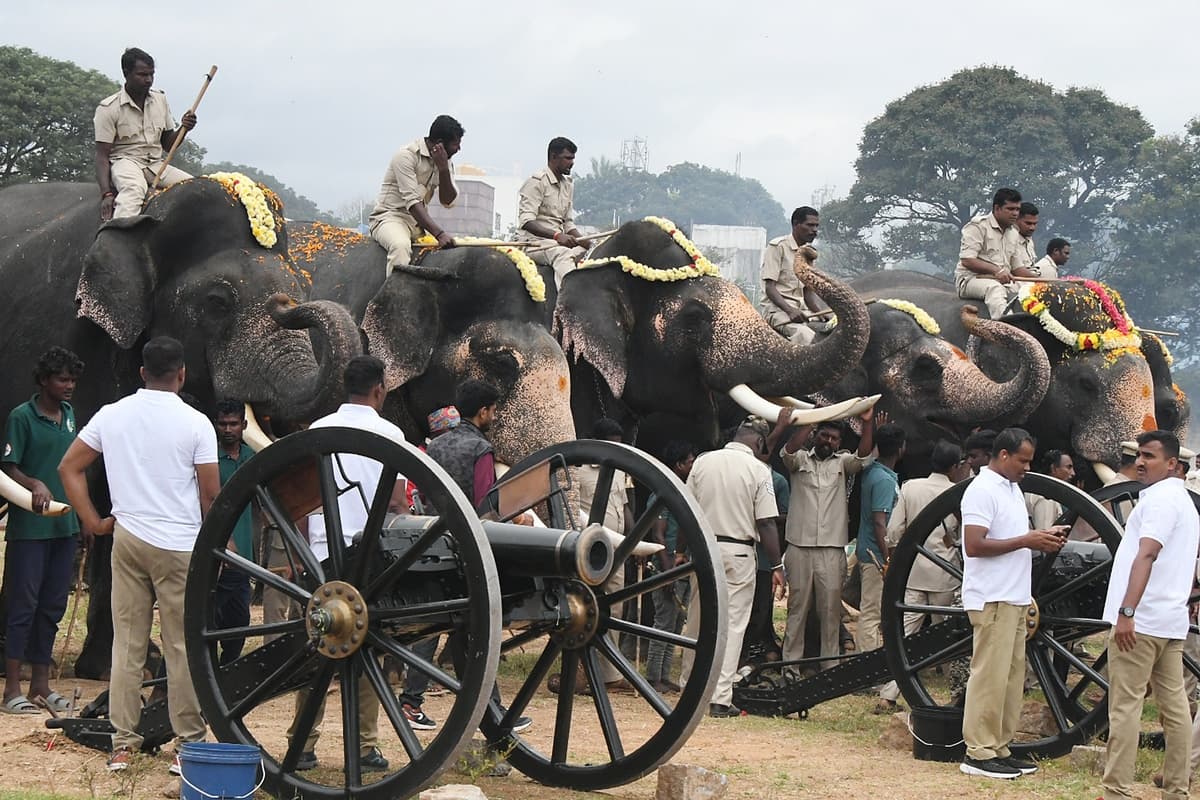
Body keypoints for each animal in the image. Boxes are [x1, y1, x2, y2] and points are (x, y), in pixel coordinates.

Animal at [0, 179, 362, 676]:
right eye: (217, 302)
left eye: (299, 287)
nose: (287, 304)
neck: (150, 216)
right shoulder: (75, 339)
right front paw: (112, 667)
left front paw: (133, 665)